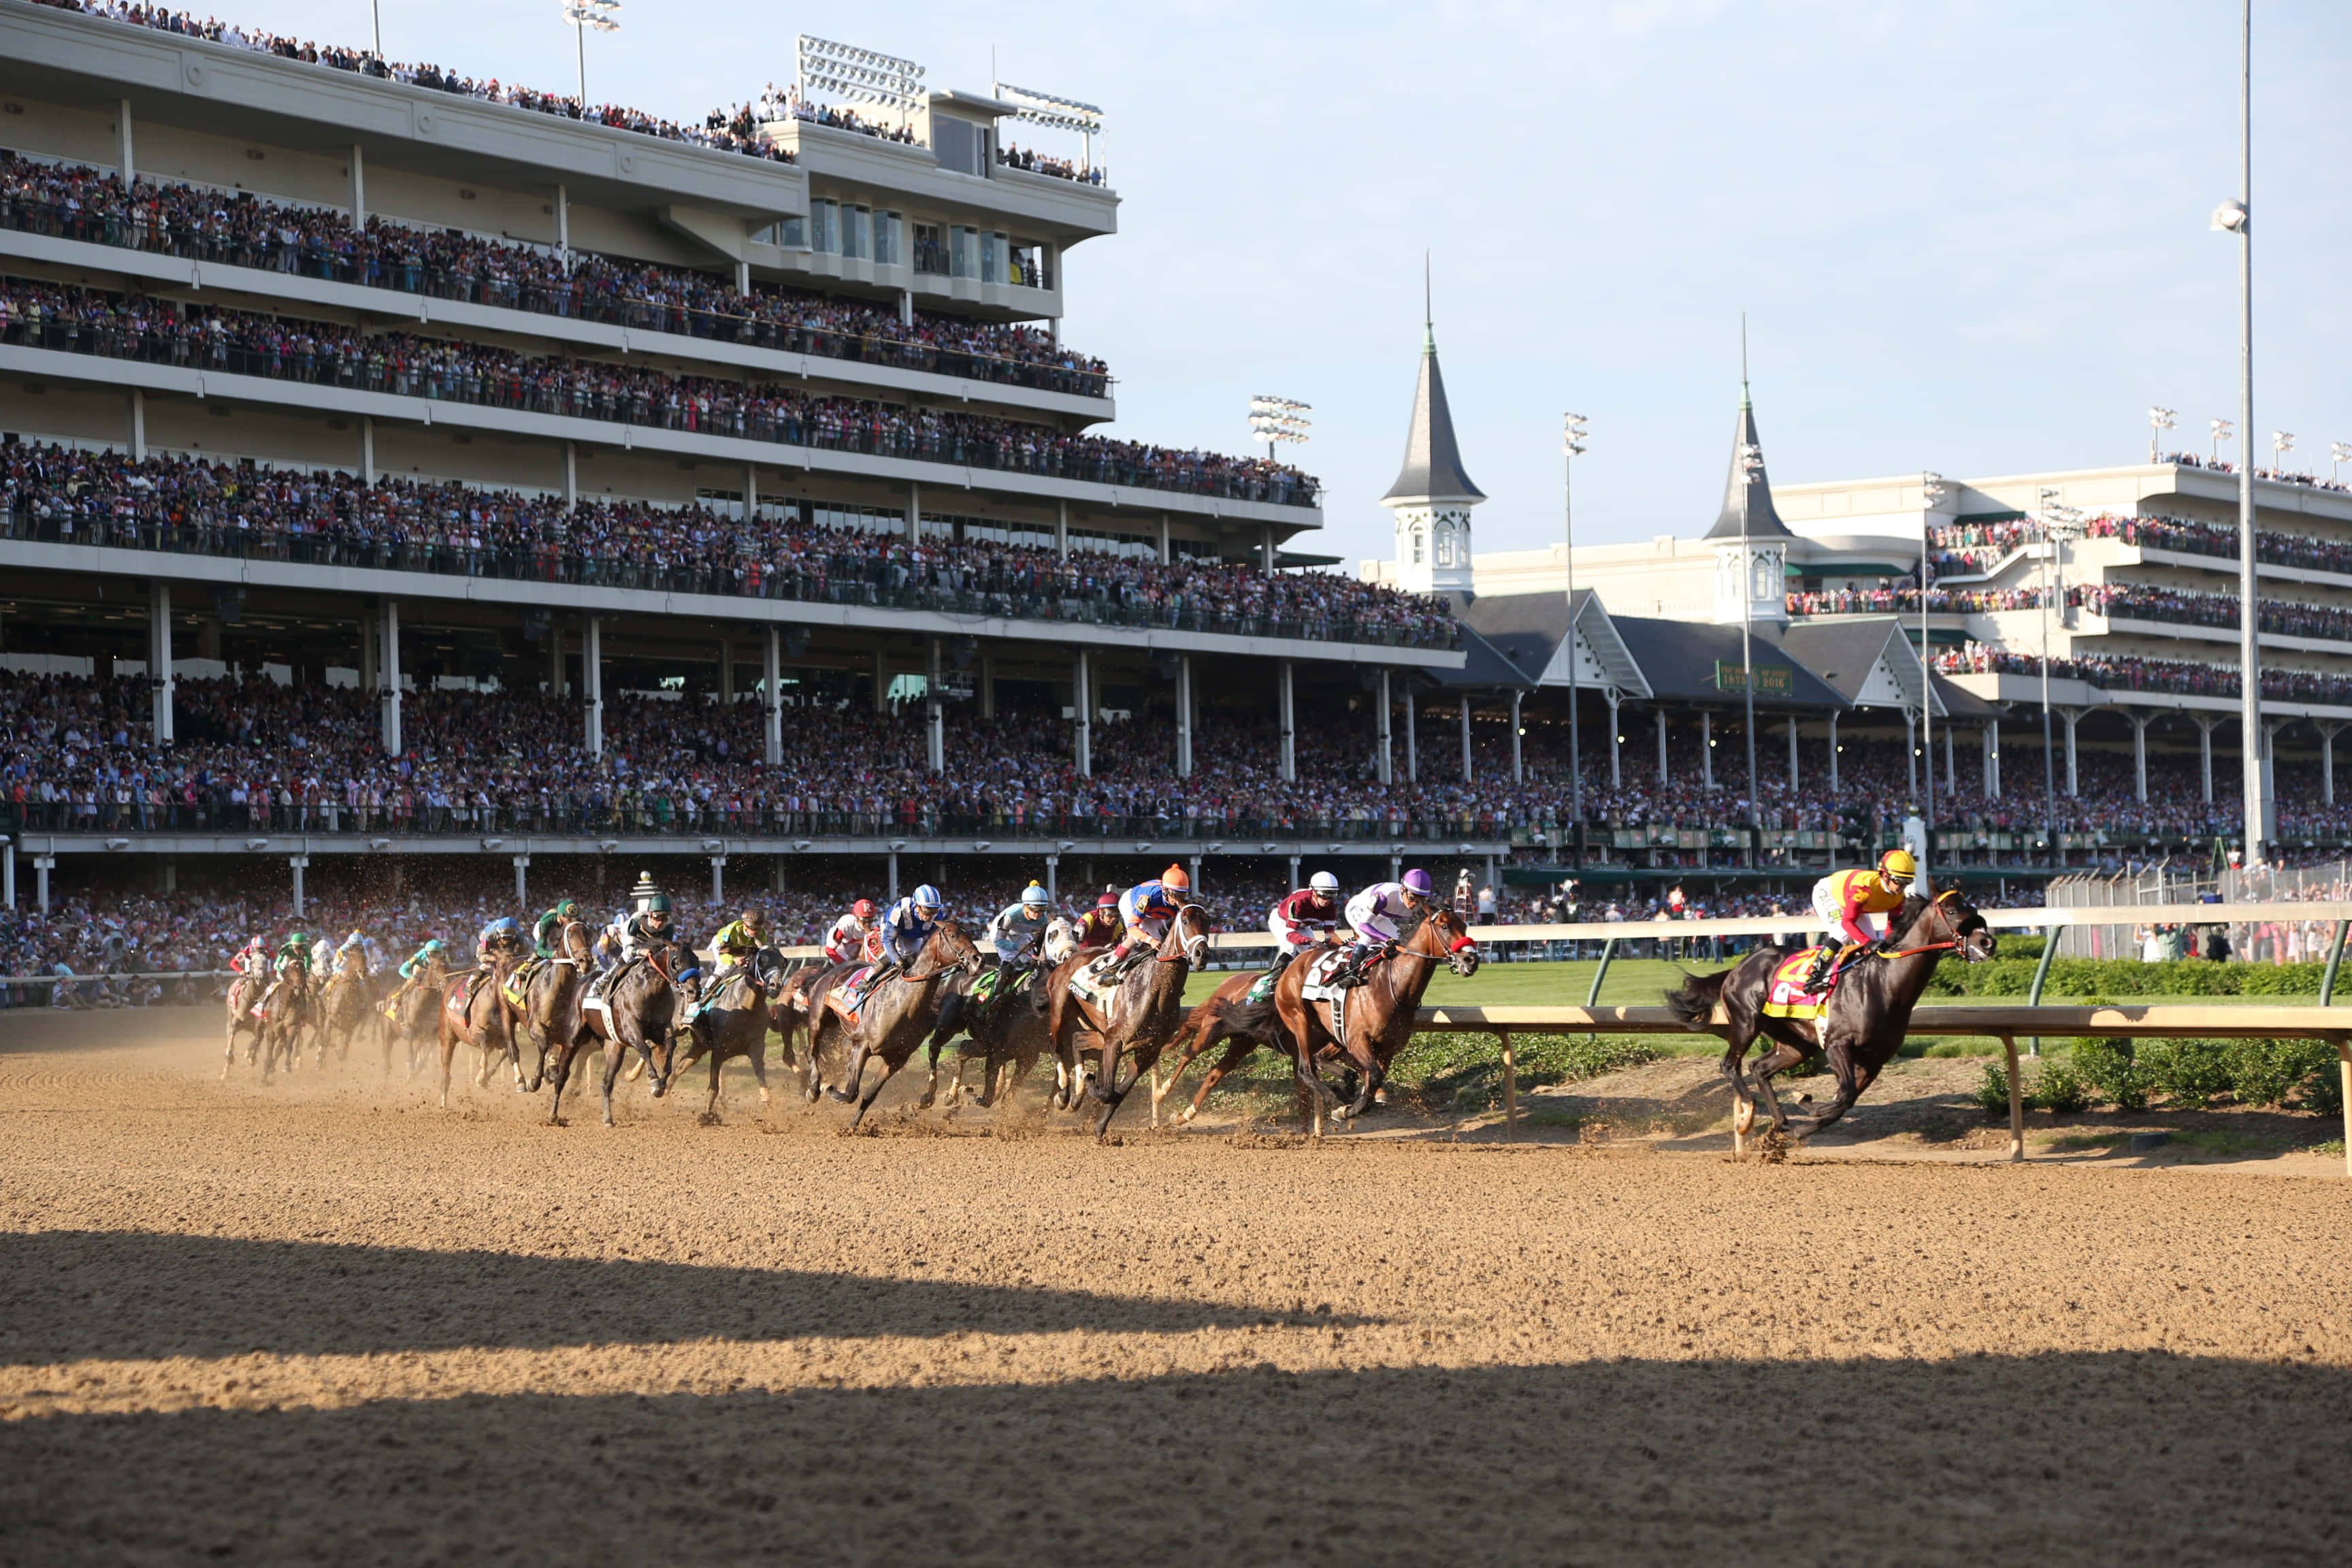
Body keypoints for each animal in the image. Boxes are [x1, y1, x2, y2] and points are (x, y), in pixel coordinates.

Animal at [808, 921, 983, 1128]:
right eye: (953, 935)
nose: (978, 960)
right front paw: (829, 1089)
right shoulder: (862, 1045)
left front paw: (853, 1124)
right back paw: (813, 1089)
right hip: (818, 1018)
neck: (902, 1004)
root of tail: (834, 970)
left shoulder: (896, 1060)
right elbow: (851, 1092)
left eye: (969, 934)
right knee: (812, 1051)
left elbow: (870, 1094)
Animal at [1049, 907, 1213, 1142]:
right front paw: (1090, 1079)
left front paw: (1099, 1128)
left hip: (1100, 1031)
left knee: (1077, 1039)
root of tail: (1071, 957)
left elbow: (1118, 1093)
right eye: (1185, 920)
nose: (1202, 954)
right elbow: (1107, 1091)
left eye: (1209, 922)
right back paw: (1063, 1095)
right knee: (1056, 1047)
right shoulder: (1115, 1041)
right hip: (1060, 1012)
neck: (1155, 990)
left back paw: (1076, 1096)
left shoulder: (1147, 1052)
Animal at [1665, 893, 1994, 1142]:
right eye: (1952, 911)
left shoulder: (1876, 1058)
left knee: (1760, 1068)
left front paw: (1805, 1120)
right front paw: (1808, 1106)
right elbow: (1844, 1096)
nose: (1988, 942)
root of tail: (1738, 967)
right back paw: (1748, 1110)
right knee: (1730, 1066)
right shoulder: (1837, 1044)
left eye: (1975, 911)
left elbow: (1845, 1101)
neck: (1883, 982)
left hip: (1796, 1044)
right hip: (1747, 1022)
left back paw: (1782, 1122)